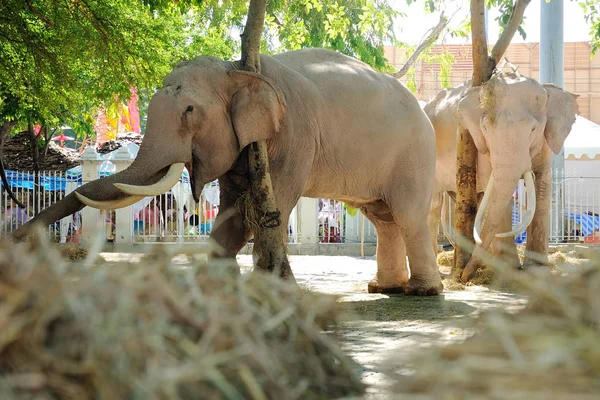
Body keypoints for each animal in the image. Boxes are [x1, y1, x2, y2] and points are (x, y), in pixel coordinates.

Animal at [14, 48, 442, 296]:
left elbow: (269, 205)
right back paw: (383, 288)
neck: (237, 68)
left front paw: (273, 286)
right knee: (383, 219)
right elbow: (233, 210)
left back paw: (423, 292)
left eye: (189, 111)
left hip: (416, 155)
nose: (17, 239)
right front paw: (218, 283)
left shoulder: (293, 133)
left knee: (408, 217)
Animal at [424, 70, 580, 280]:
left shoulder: (545, 144)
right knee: (433, 205)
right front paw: (509, 271)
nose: (464, 278)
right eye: (485, 129)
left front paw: (537, 269)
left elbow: (542, 184)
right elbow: (497, 191)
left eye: (533, 129)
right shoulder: (481, 146)